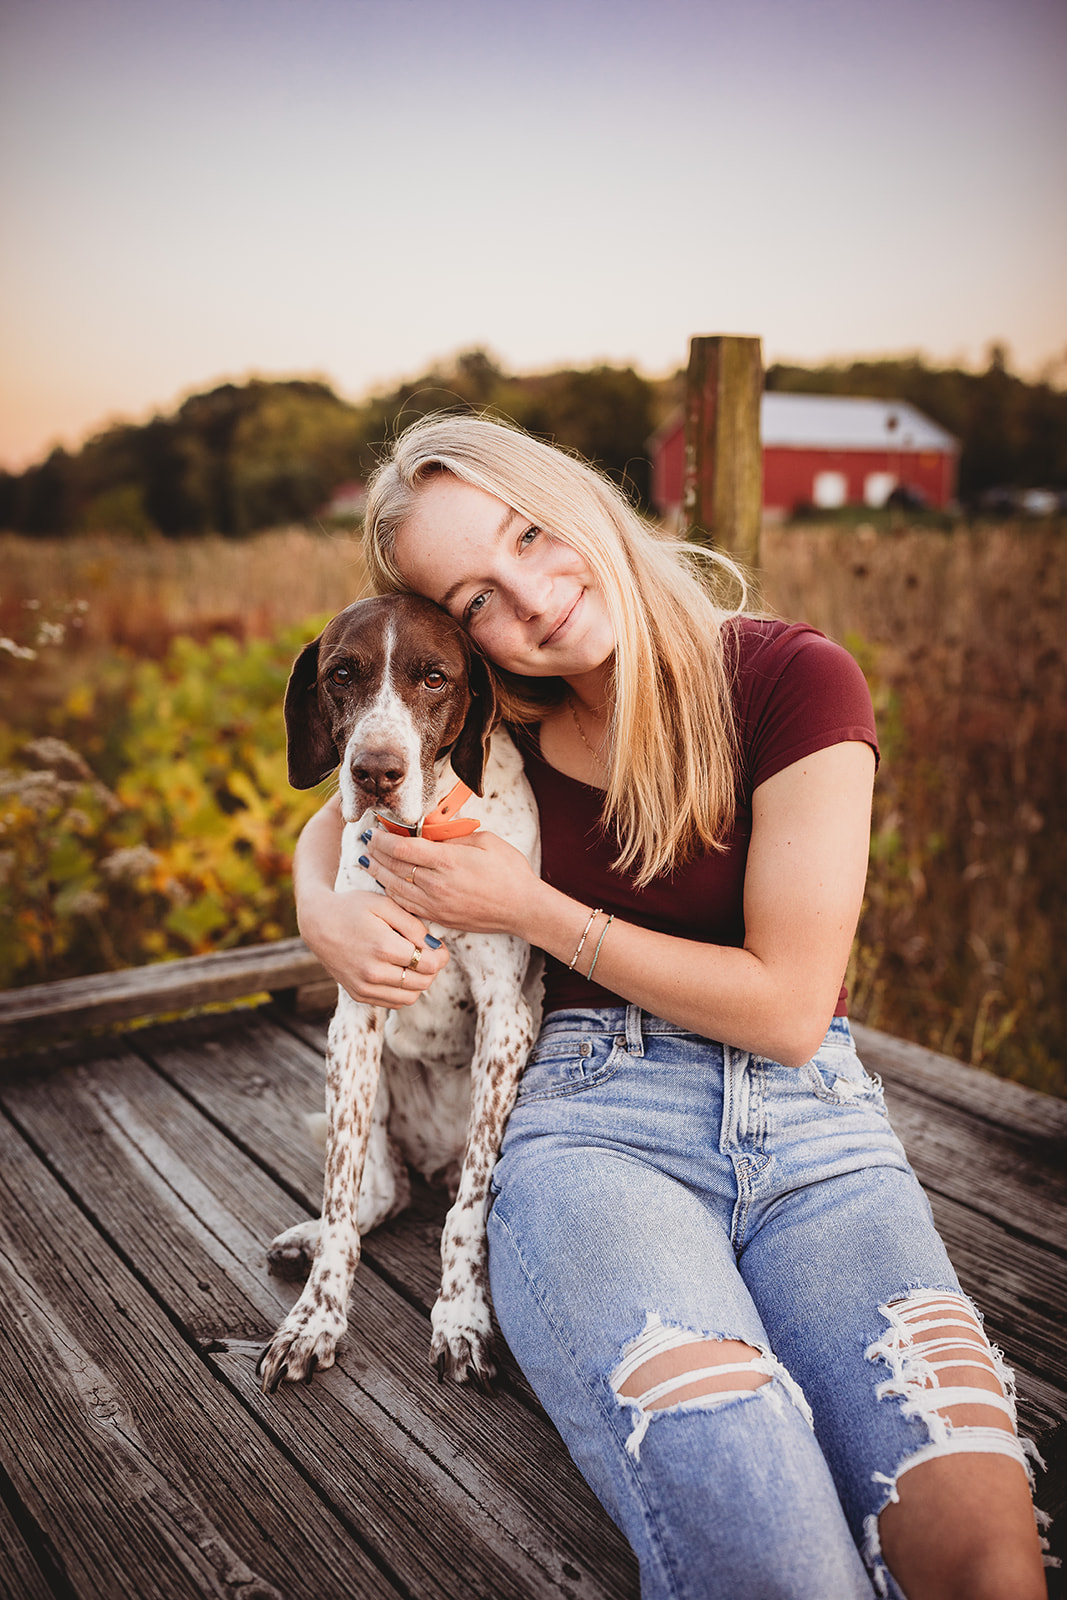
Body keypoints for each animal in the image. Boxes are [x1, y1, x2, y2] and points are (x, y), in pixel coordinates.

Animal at [257, 595, 537, 1395]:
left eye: (435, 677)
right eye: (341, 674)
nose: (375, 771)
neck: (422, 830)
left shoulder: (507, 1021)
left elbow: (467, 1217)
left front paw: (463, 1319)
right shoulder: (355, 1017)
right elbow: (341, 1202)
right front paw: (313, 1321)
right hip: (359, 1073)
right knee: (378, 1192)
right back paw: (310, 1236)